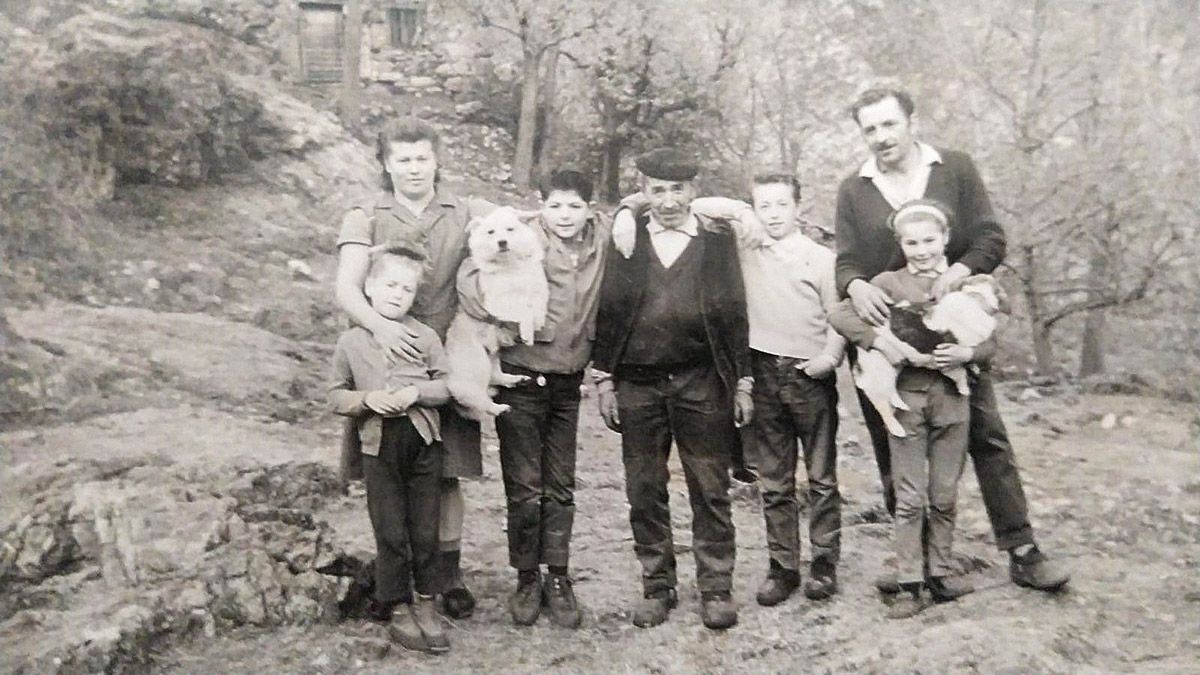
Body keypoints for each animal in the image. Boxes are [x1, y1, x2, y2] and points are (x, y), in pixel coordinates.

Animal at [446, 205, 549, 417]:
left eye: (510, 229)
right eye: (491, 232)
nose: (502, 242)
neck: (510, 264)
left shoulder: (537, 287)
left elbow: (537, 303)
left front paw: (537, 322)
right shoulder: (498, 302)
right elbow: (523, 310)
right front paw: (527, 332)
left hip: (493, 356)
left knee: (495, 376)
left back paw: (515, 379)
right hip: (478, 365)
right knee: (480, 401)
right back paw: (498, 408)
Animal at [849, 273, 1008, 437]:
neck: (974, 299)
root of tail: (860, 351)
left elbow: (968, 360)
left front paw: (973, 367)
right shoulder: (947, 361)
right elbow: (960, 374)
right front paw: (964, 389)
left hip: (894, 367)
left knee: (891, 392)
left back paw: (901, 405)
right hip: (881, 374)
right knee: (882, 406)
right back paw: (898, 430)